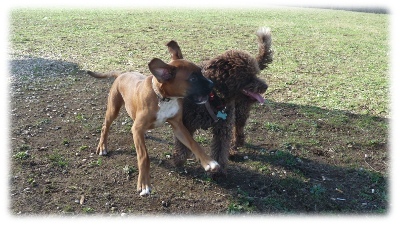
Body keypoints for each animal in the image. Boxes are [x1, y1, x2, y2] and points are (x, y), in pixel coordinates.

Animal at [87, 41, 219, 196]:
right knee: (105, 127)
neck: (163, 98)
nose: (212, 84)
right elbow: (144, 156)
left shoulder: (178, 126)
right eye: (193, 78)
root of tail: (122, 74)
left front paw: (209, 162)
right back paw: (102, 146)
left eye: (200, 72)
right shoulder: (139, 128)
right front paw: (144, 184)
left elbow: (193, 143)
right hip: (113, 109)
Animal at [169, 26, 272, 174]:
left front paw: (219, 170)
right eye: (248, 76)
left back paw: (234, 147)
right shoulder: (187, 123)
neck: (214, 96)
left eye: (255, 73)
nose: (265, 86)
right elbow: (183, 145)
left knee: (238, 130)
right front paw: (179, 159)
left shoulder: (223, 129)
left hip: (240, 112)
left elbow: (220, 150)